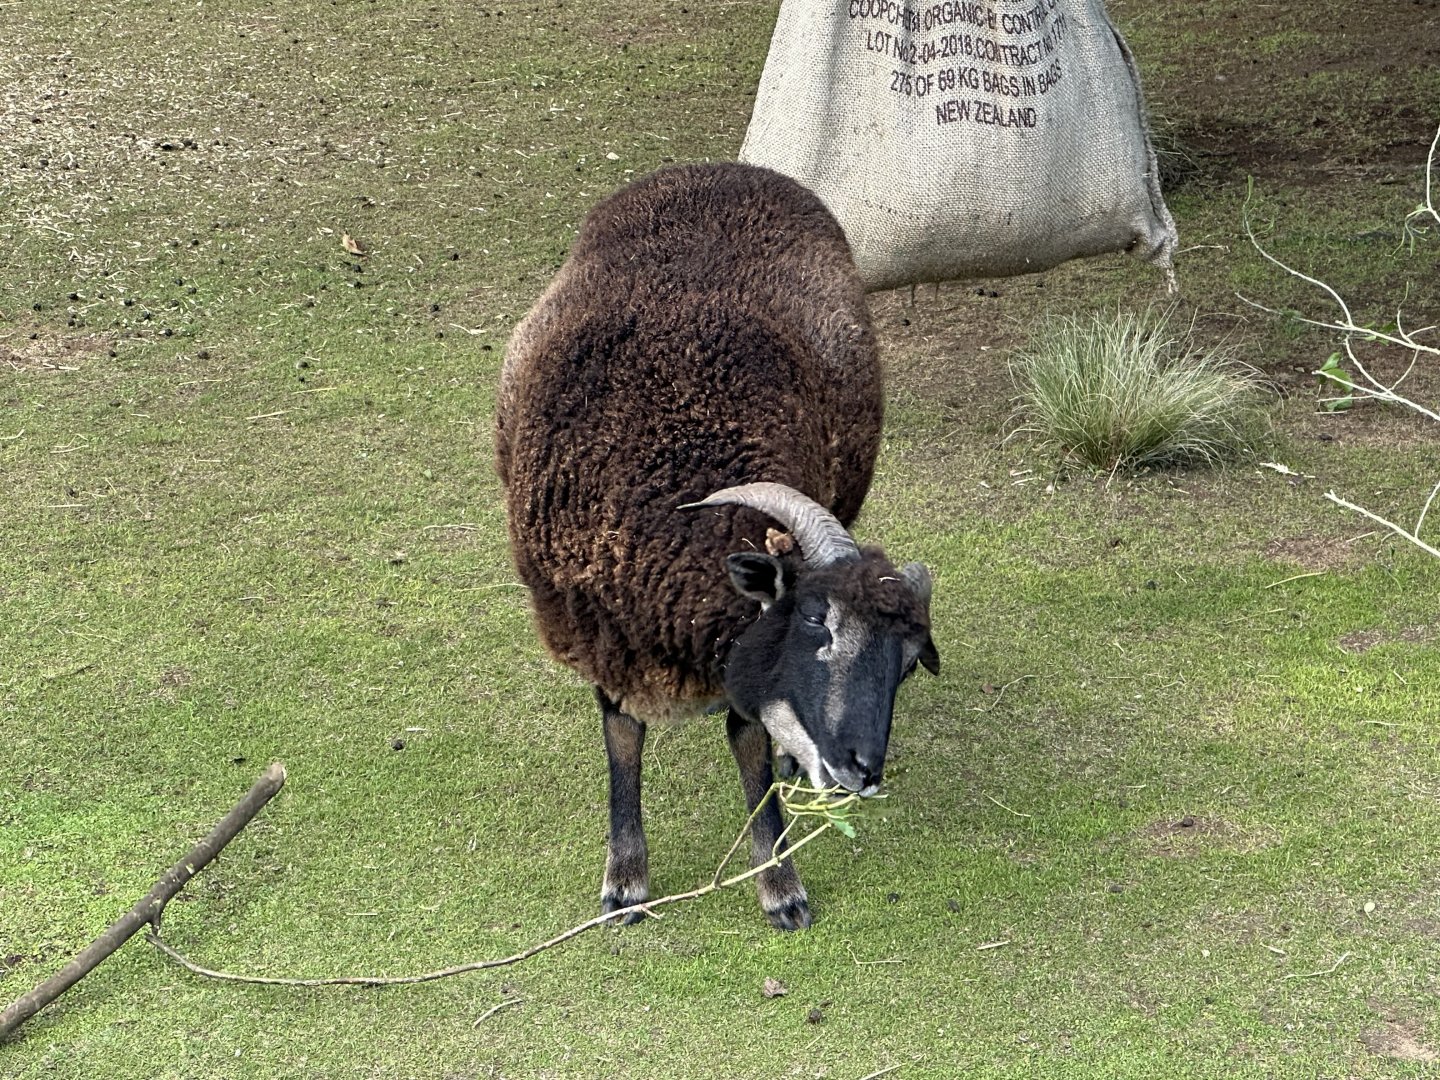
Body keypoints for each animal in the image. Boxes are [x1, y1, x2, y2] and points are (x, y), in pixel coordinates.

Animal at [495, 161, 939, 930]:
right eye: (815, 623)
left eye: (910, 665)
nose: (863, 770)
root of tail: (727, 167)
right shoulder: (602, 636)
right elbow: (622, 743)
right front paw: (625, 882)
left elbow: (751, 753)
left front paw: (779, 885)